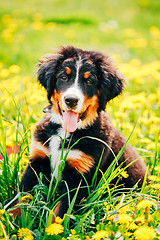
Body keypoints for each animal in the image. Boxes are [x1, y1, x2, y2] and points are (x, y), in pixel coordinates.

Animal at [19, 46, 150, 218]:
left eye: (89, 81)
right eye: (63, 77)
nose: (71, 100)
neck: (65, 132)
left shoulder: (79, 177)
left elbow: (60, 214)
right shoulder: (36, 160)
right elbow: (18, 201)